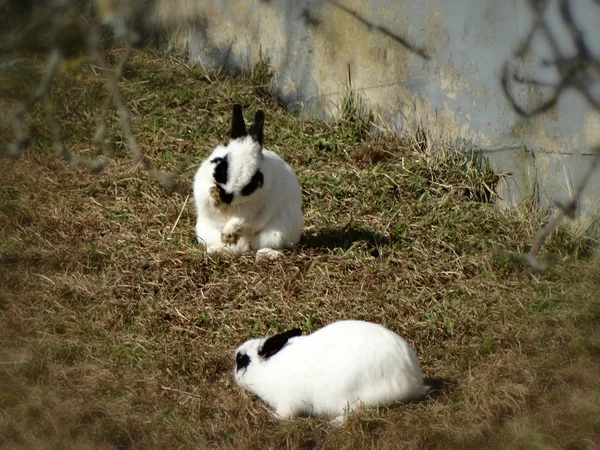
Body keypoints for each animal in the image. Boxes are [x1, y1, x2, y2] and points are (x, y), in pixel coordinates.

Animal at [192, 105, 302, 258]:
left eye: (254, 180)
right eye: (221, 167)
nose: (226, 196)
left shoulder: (253, 208)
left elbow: (241, 220)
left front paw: (229, 233)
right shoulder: (202, 189)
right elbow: (209, 204)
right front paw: (215, 197)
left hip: (278, 234)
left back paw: (265, 255)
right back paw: (217, 250)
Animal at [232, 318, 428, 420]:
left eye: (242, 360)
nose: (234, 374)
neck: (266, 369)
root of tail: (413, 382)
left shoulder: (288, 402)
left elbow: (285, 414)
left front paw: (273, 418)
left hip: (350, 396)